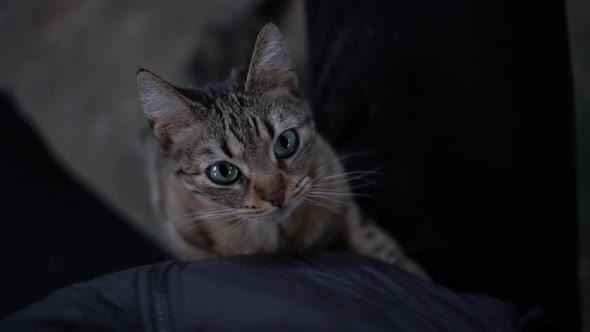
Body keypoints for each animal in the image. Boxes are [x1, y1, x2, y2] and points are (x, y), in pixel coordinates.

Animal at [136, 22, 428, 280]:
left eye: (285, 142)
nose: (276, 196)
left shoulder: (350, 212)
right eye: (223, 172)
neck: (278, 238)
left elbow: (384, 251)